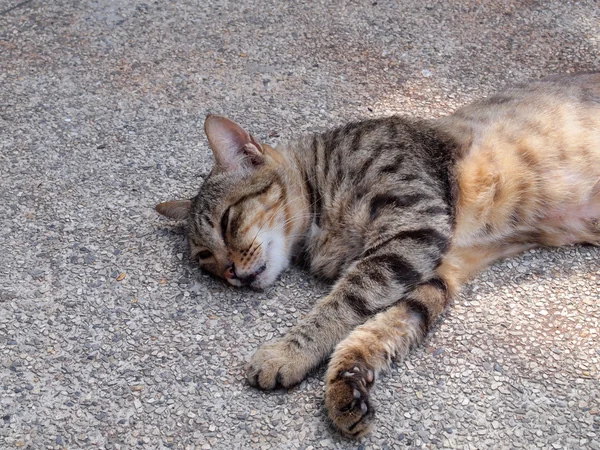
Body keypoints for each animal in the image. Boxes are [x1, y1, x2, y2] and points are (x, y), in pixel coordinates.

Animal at [156, 73, 600, 436]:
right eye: (204, 258)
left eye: (226, 221)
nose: (230, 272)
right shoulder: (436, 266)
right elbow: (378, 331)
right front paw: (346, 383)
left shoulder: (413, 227)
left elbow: (339, 305)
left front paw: (287, 353)